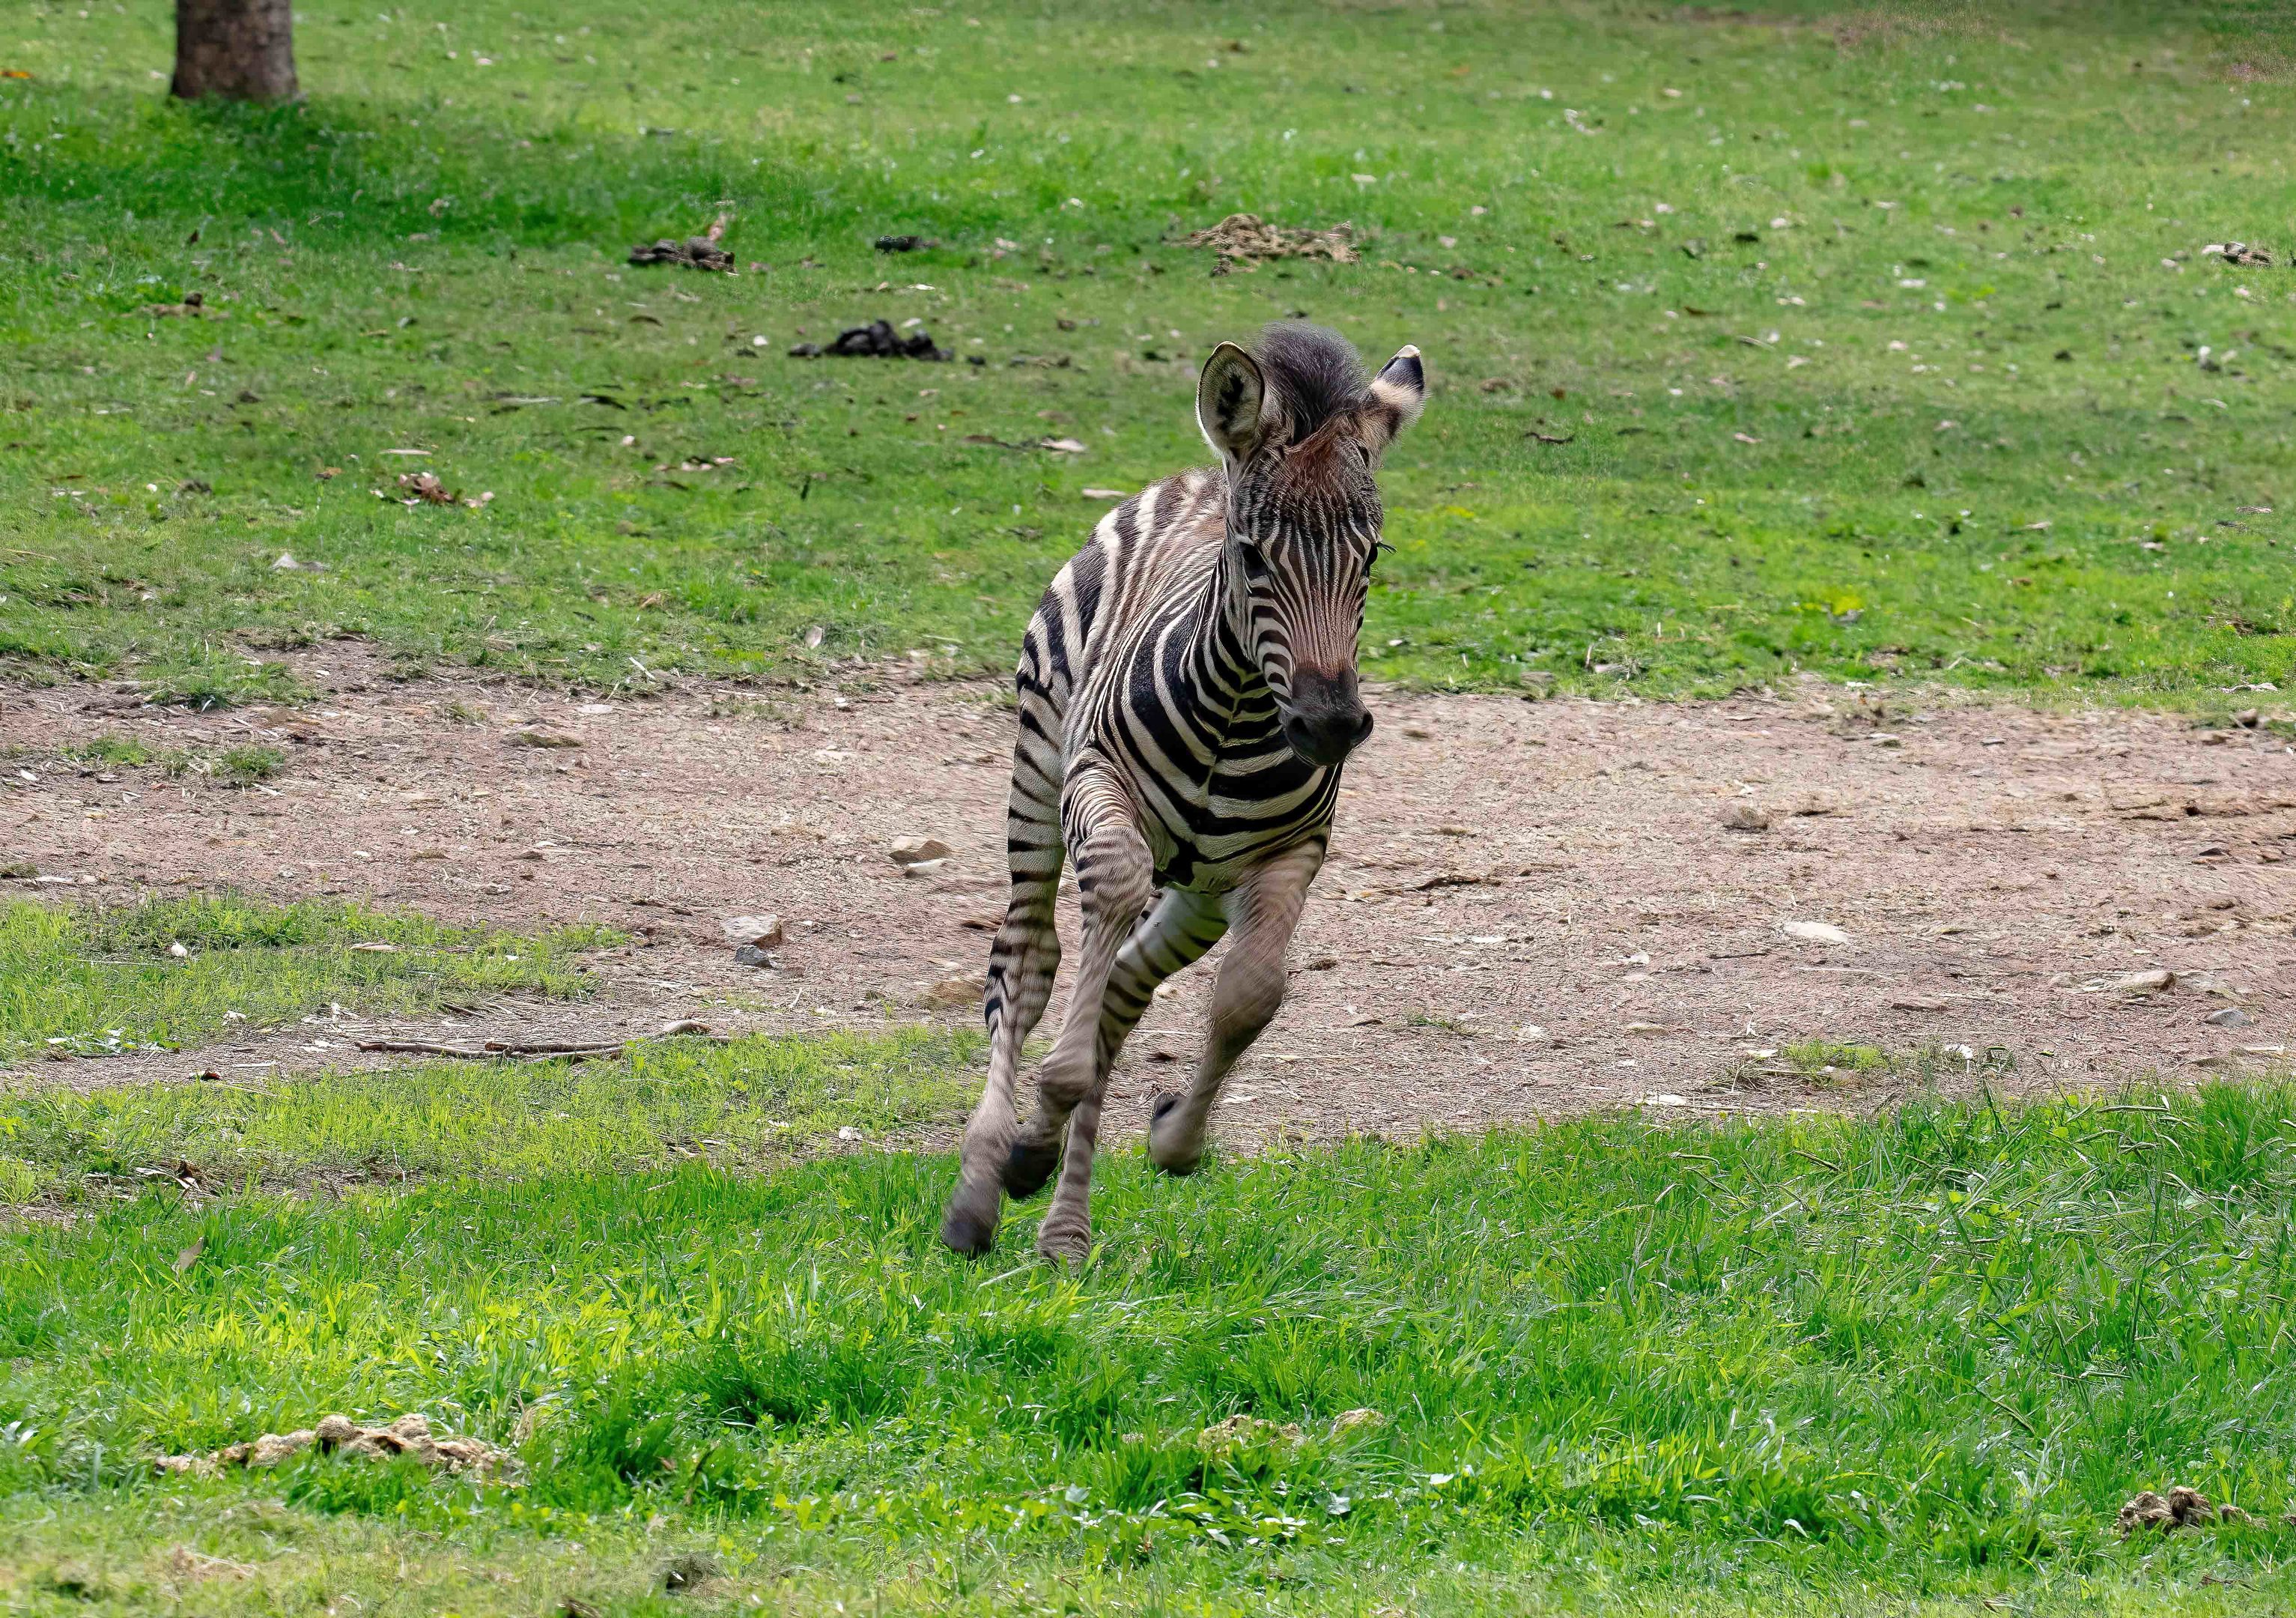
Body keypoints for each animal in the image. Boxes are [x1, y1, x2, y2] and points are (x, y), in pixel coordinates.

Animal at [941, 322, 1427, 1263]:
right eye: (1252, 556)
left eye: (1372, 557)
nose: (1330, 727)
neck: (1239, 713)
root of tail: (1203, 474)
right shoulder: (1098, 786)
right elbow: (1085, 967)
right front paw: (1039, 1121)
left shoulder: (1290, 854)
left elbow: (1249, 999)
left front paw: (1173, 1139)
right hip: (1038, 772)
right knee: (1029, 959)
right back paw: (982, 1189)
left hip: (1201, 888)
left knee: (1125, 982)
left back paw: (1063, 1228)